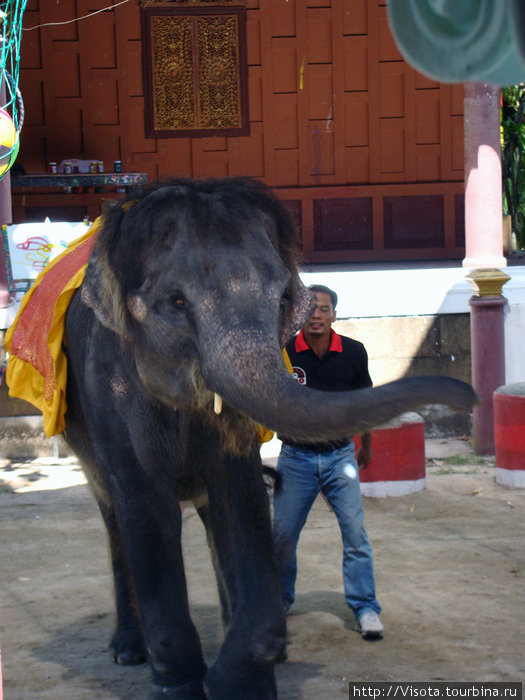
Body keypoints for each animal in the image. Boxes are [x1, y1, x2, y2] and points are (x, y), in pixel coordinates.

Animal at [63, 178, 476, 696]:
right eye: (175, 303)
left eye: (282, 300)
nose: (469, 397)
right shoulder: (109, 390)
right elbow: (145, 507)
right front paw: (184, 685)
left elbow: (240, 497)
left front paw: (236, 681)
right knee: (112, 515)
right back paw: (127, 651)